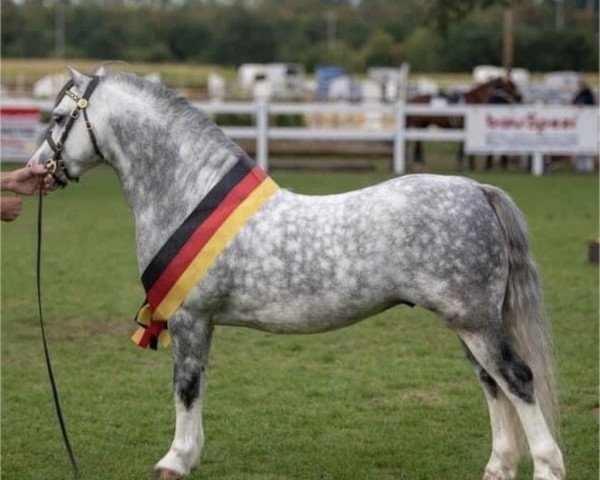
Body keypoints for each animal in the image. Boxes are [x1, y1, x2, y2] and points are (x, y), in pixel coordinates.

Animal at [27, 67, 564, 480]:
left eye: (57, 118)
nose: (37, 171)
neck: (188, 192)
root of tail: (477, 190)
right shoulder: (201, 323)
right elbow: (197, 387)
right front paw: (189, 454)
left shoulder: (189, 319)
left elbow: (186, 387)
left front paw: (174, 460)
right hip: (470, 324)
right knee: (492, 384)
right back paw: (498, 467)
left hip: (474, 322)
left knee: (517, 379)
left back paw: (546, 466)